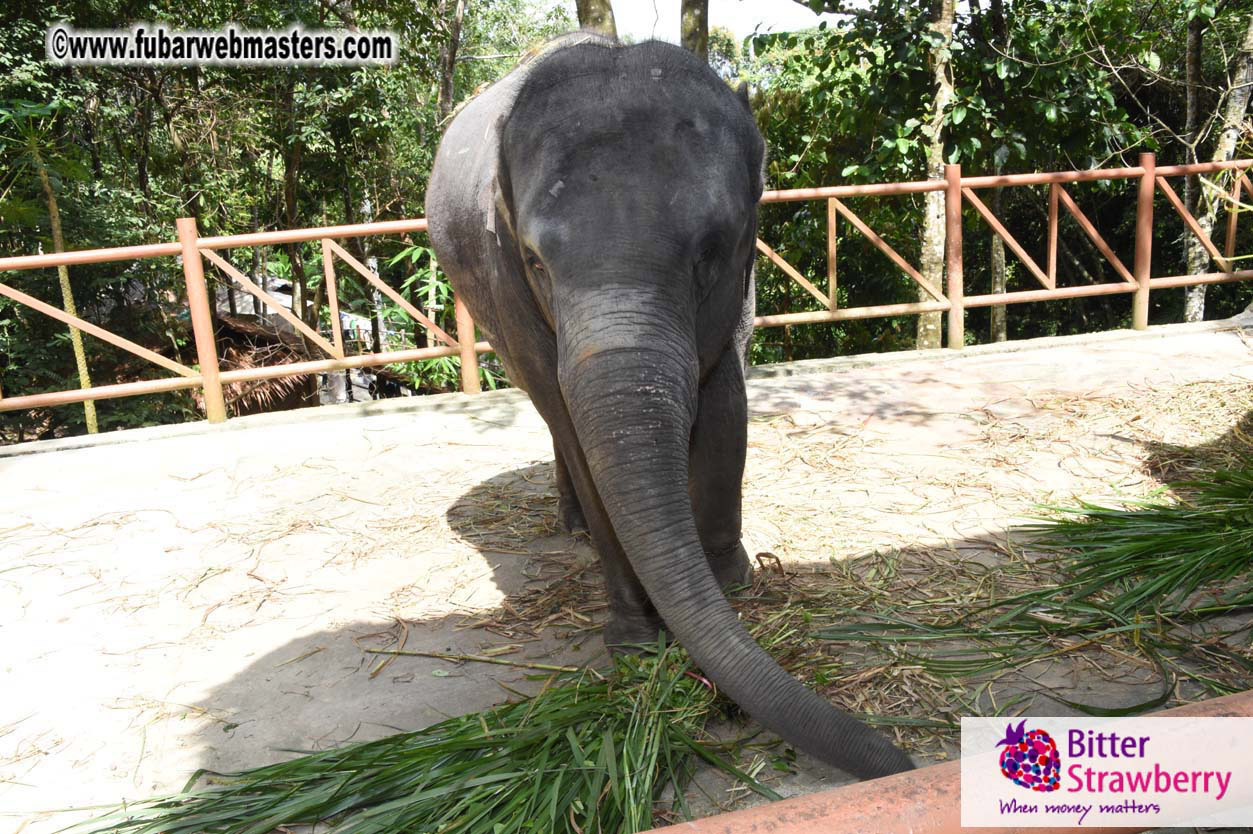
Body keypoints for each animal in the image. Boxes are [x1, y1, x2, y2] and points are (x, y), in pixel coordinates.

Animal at [425, 34, 913, 780]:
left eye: (711, 249)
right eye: (536, 262)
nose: (899, 760)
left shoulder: (738, 285)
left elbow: (725, 407)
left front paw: (732, 585)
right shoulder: (508, 287)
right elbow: (577, 429)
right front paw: (634, 643)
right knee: (552, 421)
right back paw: (571, 524)